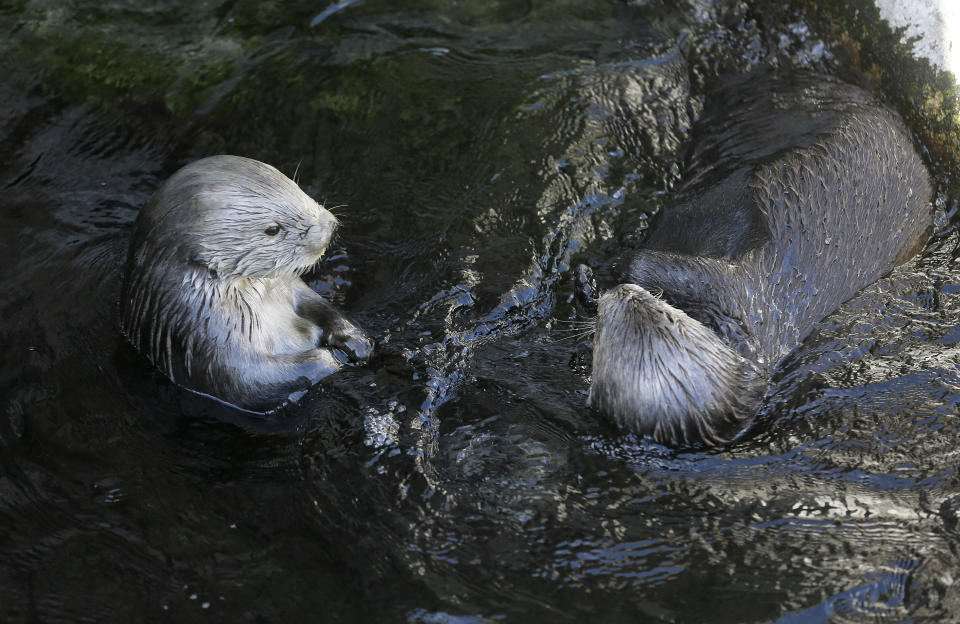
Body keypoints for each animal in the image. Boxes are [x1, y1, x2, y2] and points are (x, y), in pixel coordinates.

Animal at [119, 154, 372, 412]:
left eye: (297, 188)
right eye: (273, 229)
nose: (331, 227)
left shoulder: (290, 287)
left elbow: (317, 304)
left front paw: (355, 340)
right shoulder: (207, 341)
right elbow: (250, 383)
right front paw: (331, 357)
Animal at [580, 72, 932, 444]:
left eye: (668, 316)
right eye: (603, 339)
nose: (622, 293)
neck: (742, 332)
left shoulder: (728, 295)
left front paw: (601, 275)